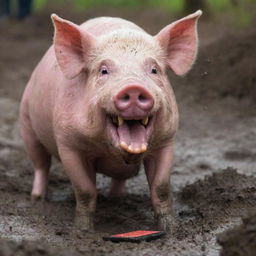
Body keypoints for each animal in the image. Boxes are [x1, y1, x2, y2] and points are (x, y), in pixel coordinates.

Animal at [19, 11, 202, 232]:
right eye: (103, 70)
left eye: (154, 70)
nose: (134, 88)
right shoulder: (68, 144)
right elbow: (85, 189)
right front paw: (83, 230)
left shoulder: (166, 140)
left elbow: (161, 187)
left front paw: (170, 229)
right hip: (26, 123)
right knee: (40, 164)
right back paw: (37, 198)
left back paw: (117, 198)